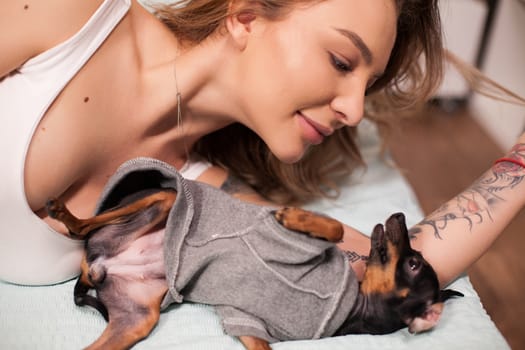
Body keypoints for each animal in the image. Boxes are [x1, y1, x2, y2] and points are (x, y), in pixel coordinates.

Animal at [46, 159, 462, 350]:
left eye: (413, 262)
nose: (400, 216)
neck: (350, 311)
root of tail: (96, 268)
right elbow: (336, 228)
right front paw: (293, 214)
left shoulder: (246, 322)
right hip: (162, 199)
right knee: (81, 227)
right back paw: (63, 212)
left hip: (136, 321)